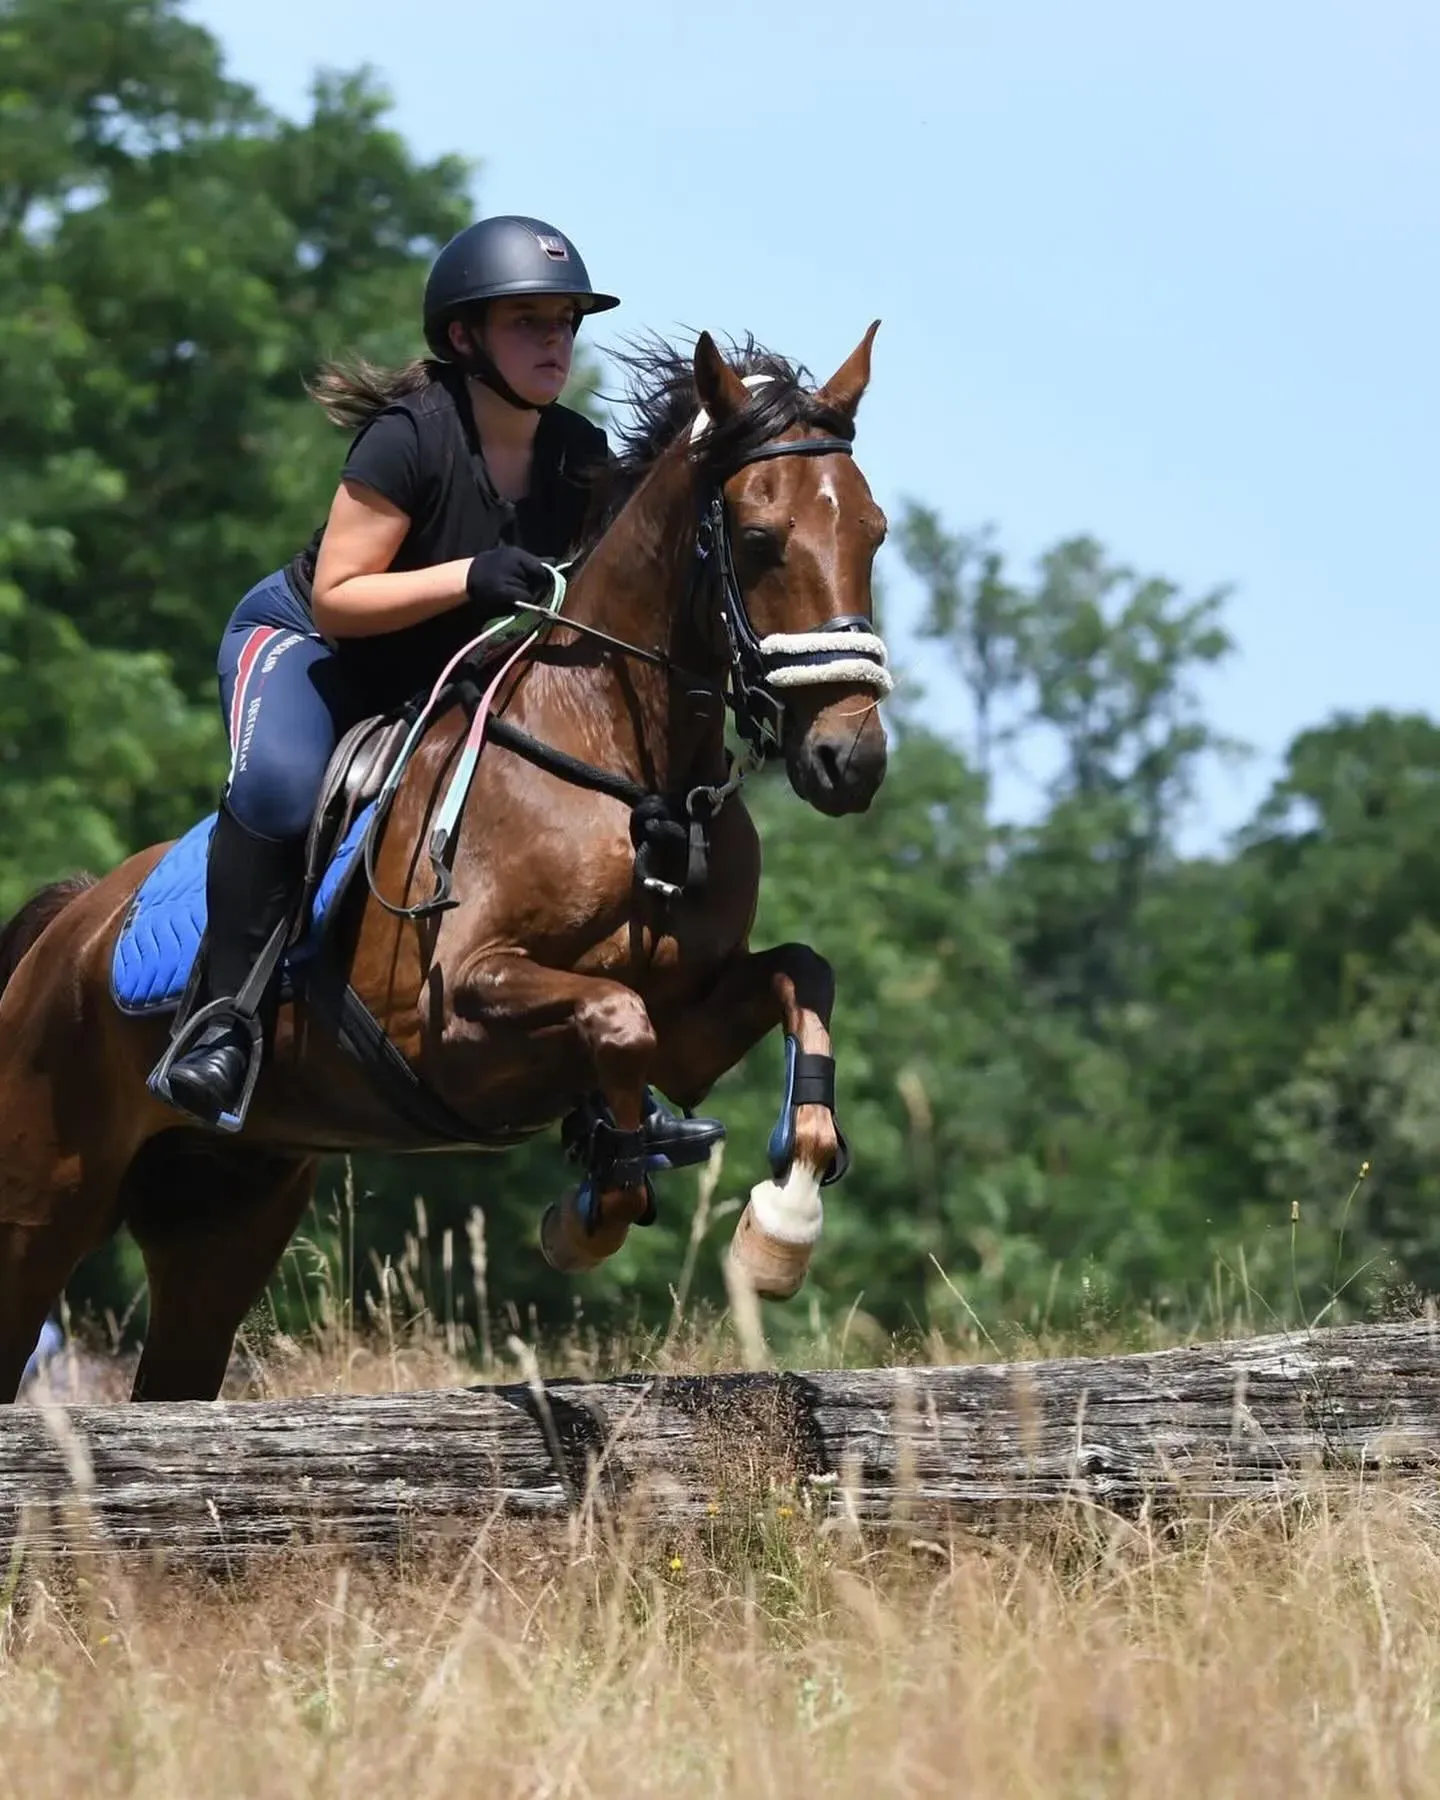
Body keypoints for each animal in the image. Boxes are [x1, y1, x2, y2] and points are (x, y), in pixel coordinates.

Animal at [0, 325, 891, 1403]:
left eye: (875, 533)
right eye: (759, 539)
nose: (851, 758)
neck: (628, 773)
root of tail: (71, 924)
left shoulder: (694, 1027)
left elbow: (800, 978)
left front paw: (781, 1220)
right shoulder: (453, 1014)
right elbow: (615, 1017)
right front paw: (594, 1208)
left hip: (224, 1216)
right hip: (40, 1198)